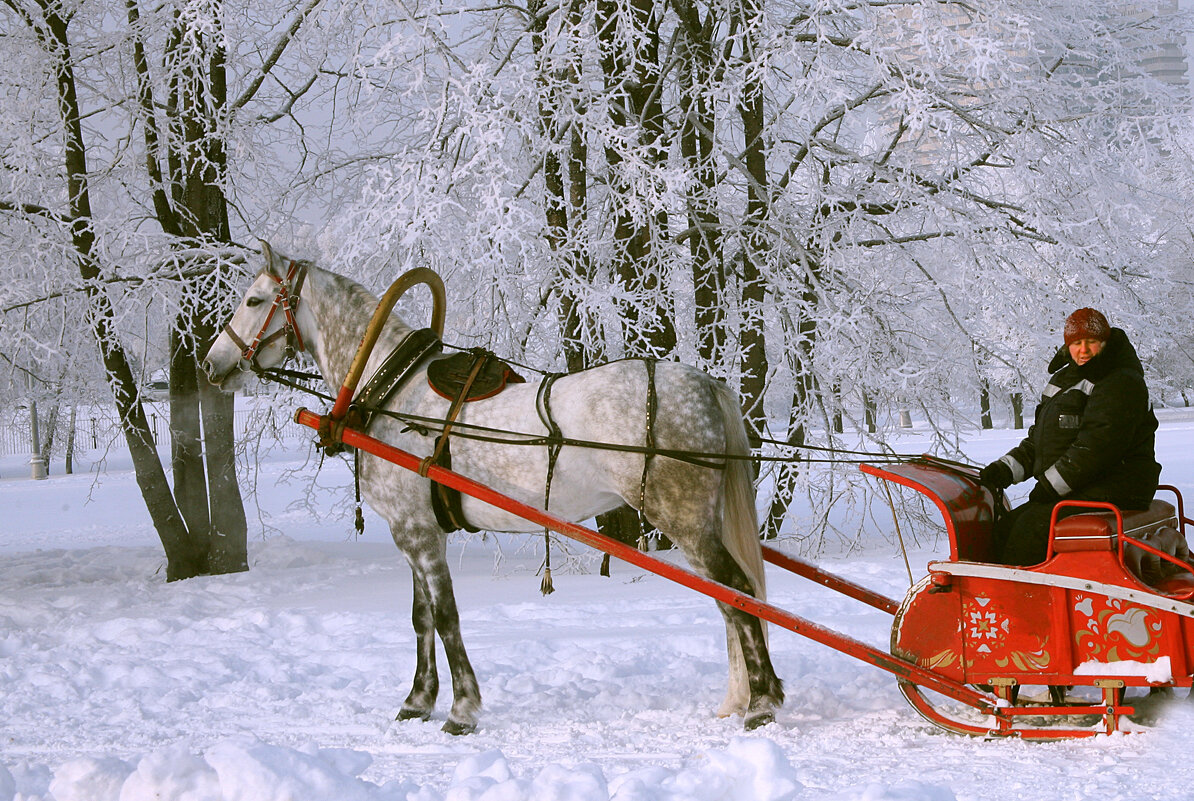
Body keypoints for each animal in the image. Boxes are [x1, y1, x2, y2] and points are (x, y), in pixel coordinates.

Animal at [202, 242, 783, 735]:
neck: (391, 393)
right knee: (731, 601)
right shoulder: (417, 530)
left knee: (738, 593)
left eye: (253, 299)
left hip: (683, 519)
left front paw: (461, 710)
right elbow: (421, 618)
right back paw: (740, 699)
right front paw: (417, 702)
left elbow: (446, 617)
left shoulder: (417, 534)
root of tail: (706, 384)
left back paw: (760, 703)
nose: (211, 364)